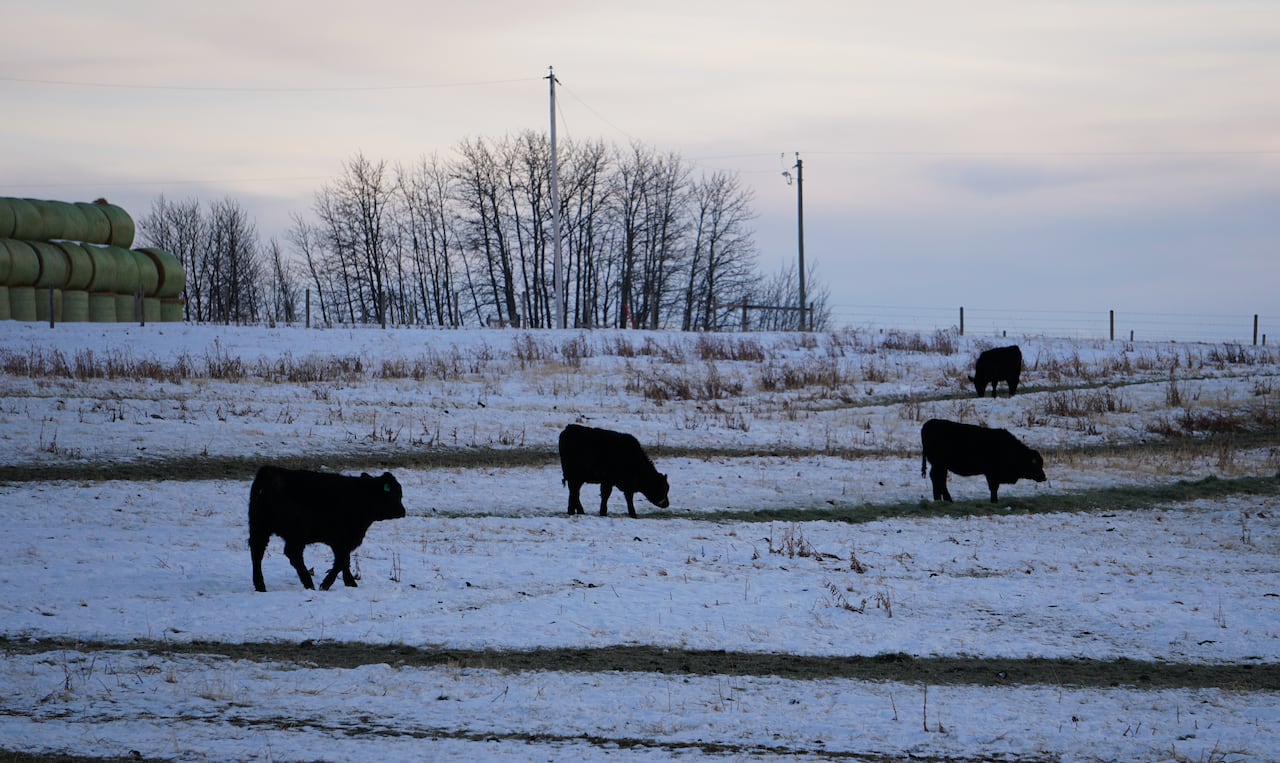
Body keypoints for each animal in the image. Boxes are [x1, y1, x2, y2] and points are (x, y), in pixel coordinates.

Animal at [249, 465, 406, 592]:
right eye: (397, 493)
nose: (403, 512)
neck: (361, 497)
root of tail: (269, 471)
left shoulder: (341, 541)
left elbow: (345, 561)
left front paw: (350, 583)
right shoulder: (344, 539)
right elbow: (341, 561)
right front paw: (326, 584)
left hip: (260, 527)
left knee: (257, 552)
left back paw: (260, 585)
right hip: (296, 532)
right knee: (292, 554)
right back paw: (308, 583)